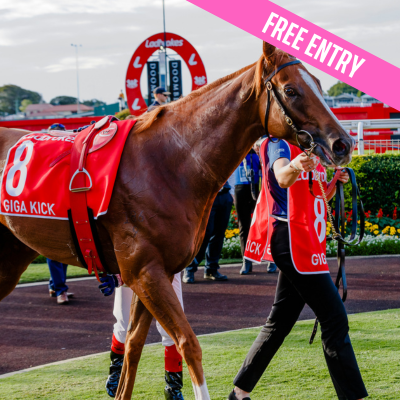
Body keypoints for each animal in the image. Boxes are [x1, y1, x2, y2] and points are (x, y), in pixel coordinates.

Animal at [0, 42, 354, 398]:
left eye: (320, 84)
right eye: (290, 89)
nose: (344, 143)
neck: (168, 162)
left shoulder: (154, 272)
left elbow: (134, 346)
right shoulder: (145, 272)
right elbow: (188, 343)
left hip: (12, 257)